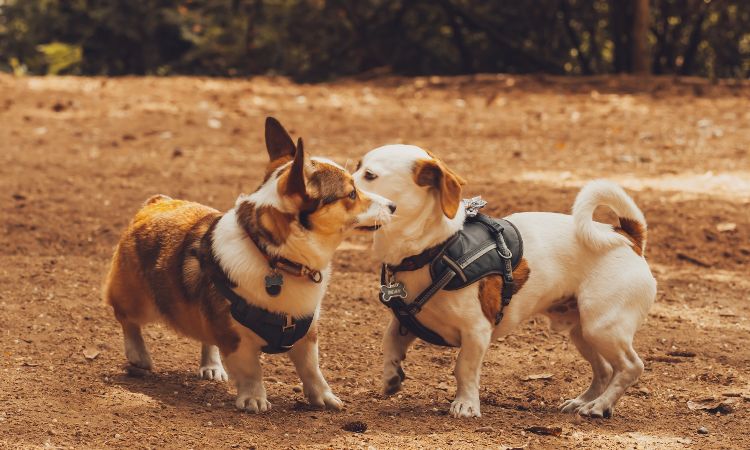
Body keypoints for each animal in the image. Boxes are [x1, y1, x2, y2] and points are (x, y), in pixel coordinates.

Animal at [356, 146, 656, 420]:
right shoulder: (405, 322)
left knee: (631, 367)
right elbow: (390, 344)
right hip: (583, 332)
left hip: (602, 327)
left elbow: (464, 368)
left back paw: (600, 406)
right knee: (604, 370)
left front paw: (465, 404)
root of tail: (628, 237)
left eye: (369, 175)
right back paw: (584, 401)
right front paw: (391, 377)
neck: (435, 250)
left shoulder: (477, 330)